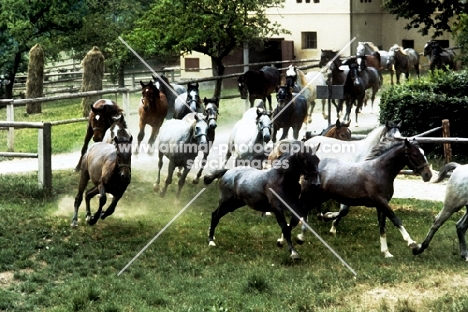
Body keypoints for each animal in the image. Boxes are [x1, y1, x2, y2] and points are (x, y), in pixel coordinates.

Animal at [302, 138, 434, 258]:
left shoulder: (381, 205)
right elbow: (396, 220)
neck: (379, 171)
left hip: (321, 196)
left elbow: (382, 227)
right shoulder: (381, 202)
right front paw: (412, 244)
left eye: (423, 153)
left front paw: (386, 253)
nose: (428, 175)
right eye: (415, 154)